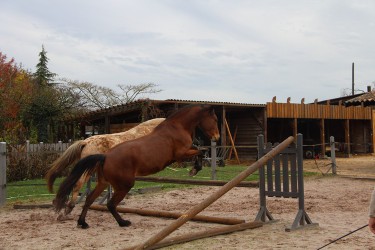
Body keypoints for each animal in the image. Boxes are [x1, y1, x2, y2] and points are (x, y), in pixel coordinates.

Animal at [55, 104, 220, 229]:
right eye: (215, 119)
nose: (217, 137)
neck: (177, 127)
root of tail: (105, 157)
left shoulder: (186, 151)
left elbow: (199, 149)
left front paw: (194, 169)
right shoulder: (180, 154)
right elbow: (200, 151)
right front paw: (194, 169)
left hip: (104, 183)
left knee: (89, 199)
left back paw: (82, 222)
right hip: (124, 185)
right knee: (110, 204)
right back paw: (123, 222)